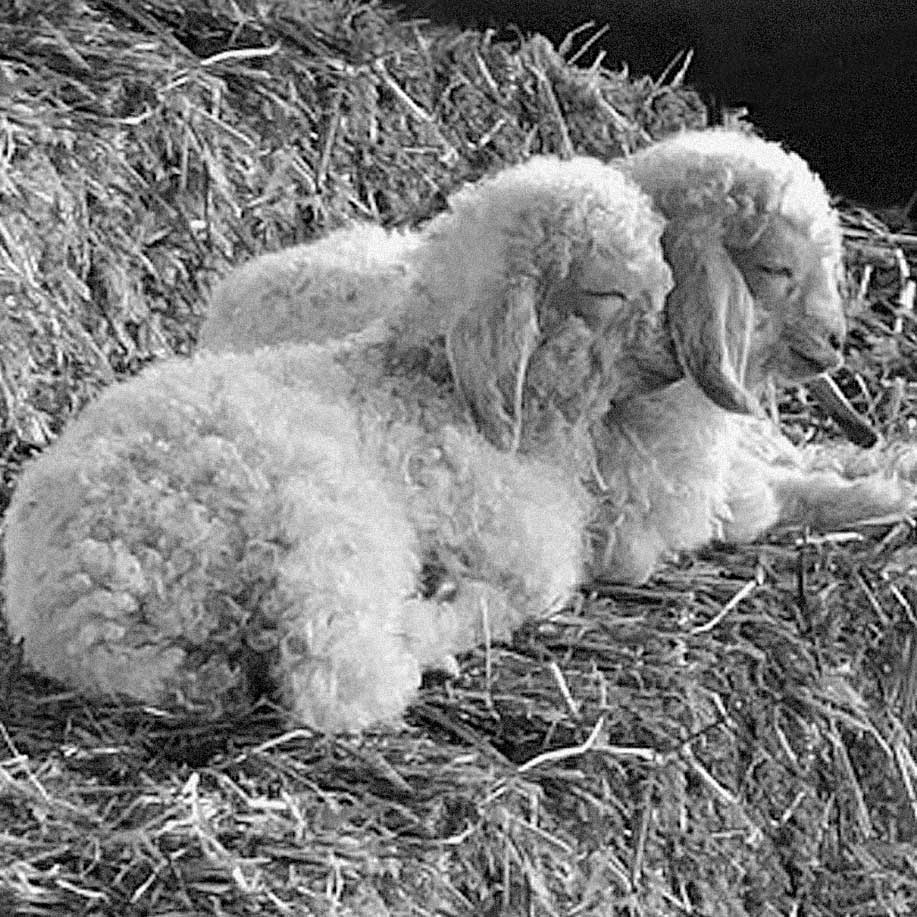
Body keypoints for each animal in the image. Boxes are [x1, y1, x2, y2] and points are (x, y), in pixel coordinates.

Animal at [2, 156, 679, 731]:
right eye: (608, 294)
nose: (674, 361)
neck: (429, 379)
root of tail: (92, 587)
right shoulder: (521, 552)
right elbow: (529, 591)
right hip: (326, 524)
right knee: (336, 677)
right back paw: (423, 633)